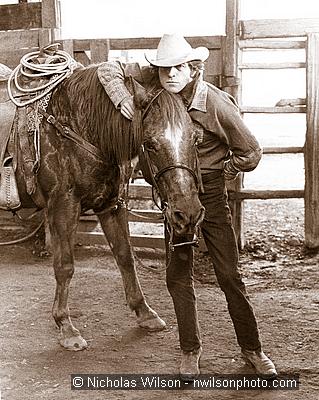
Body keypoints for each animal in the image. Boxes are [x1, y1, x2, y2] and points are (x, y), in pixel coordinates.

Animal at [0, 58, 204, 350]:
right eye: (150, 144)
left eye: (196, 139)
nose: (187, 213)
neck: (77, 127)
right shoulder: (63, 207)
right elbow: (65, 266)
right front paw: (66, 327)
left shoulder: (111, 206)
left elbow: (125, 256)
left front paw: (145, 312)